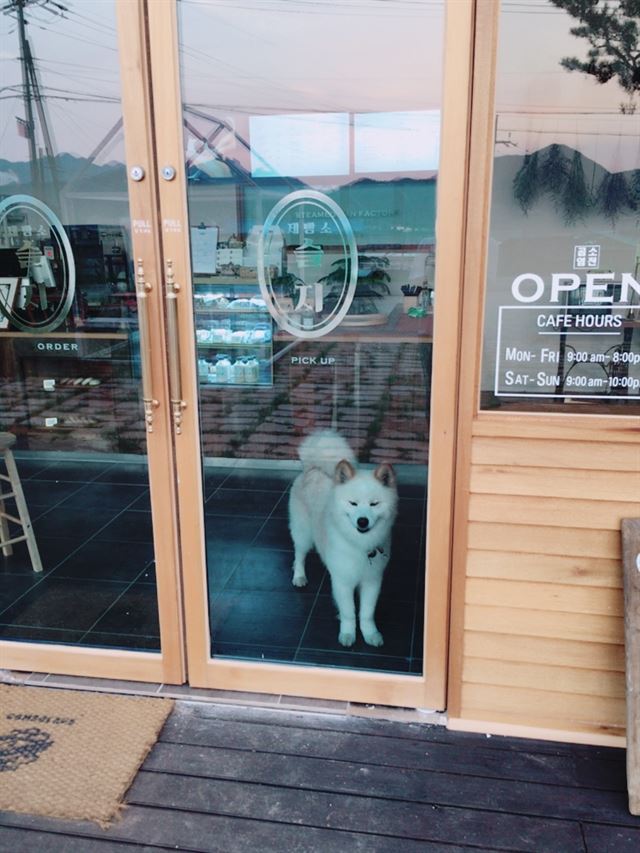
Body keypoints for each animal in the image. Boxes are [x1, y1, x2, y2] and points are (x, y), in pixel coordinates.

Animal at [288, 432, 398, 644]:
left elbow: (366, 613)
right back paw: (299, 576)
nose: (362, 521)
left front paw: (370, 634)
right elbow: (349, 612)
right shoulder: (342, 581)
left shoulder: (372, 580)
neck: (359, 544)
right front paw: (348, 634)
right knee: (299, 554)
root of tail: (313, 468)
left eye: (374, 504)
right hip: (303, 534)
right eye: (353, 503)